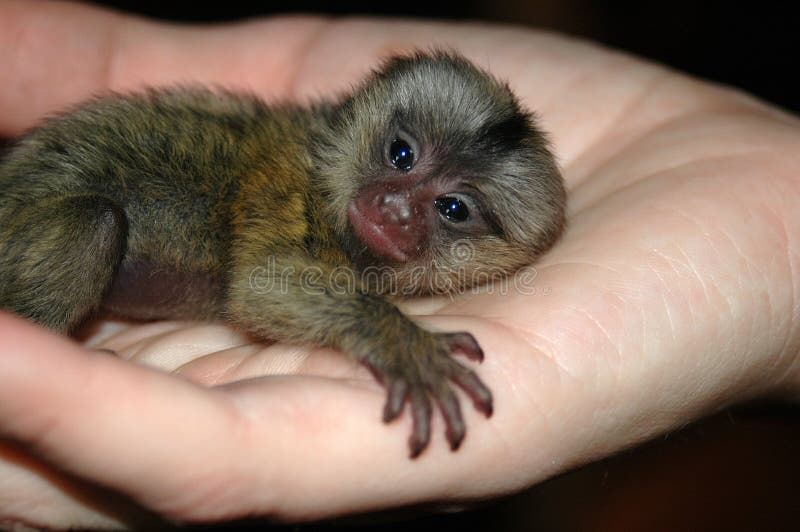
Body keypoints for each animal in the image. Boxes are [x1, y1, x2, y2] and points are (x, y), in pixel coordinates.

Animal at [0, 51, 564, 458]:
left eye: (453, 208)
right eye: (401, 154)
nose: (394, 208)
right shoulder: (286, 188)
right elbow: (259, 288)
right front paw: (399, 341)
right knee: (96, 223)